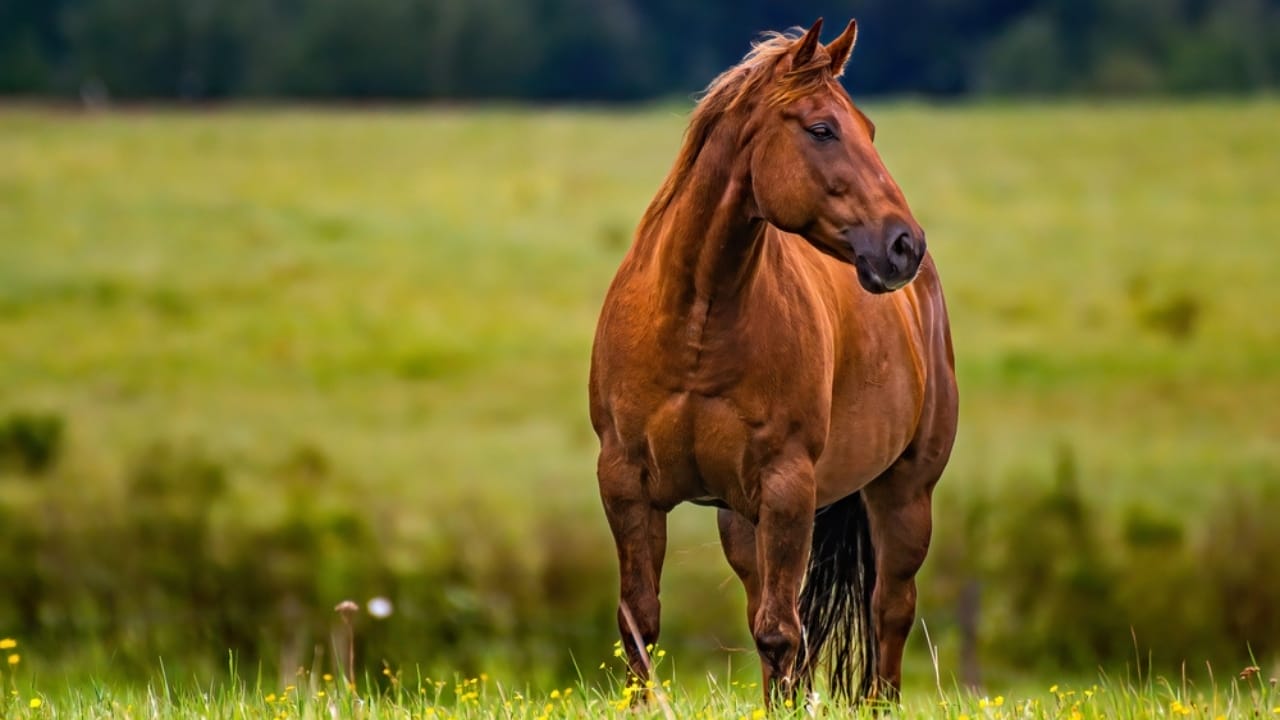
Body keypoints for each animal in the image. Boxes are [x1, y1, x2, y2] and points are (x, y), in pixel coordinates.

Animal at [588, 19, 958, 707]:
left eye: (868, 128)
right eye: (822, 129)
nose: (904, 245)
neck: (695, 324)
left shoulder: (788, 487)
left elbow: (780, 634)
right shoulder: (626, 483)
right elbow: (640, 624)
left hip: (903, 494)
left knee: (888, 611)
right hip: (742, 520)